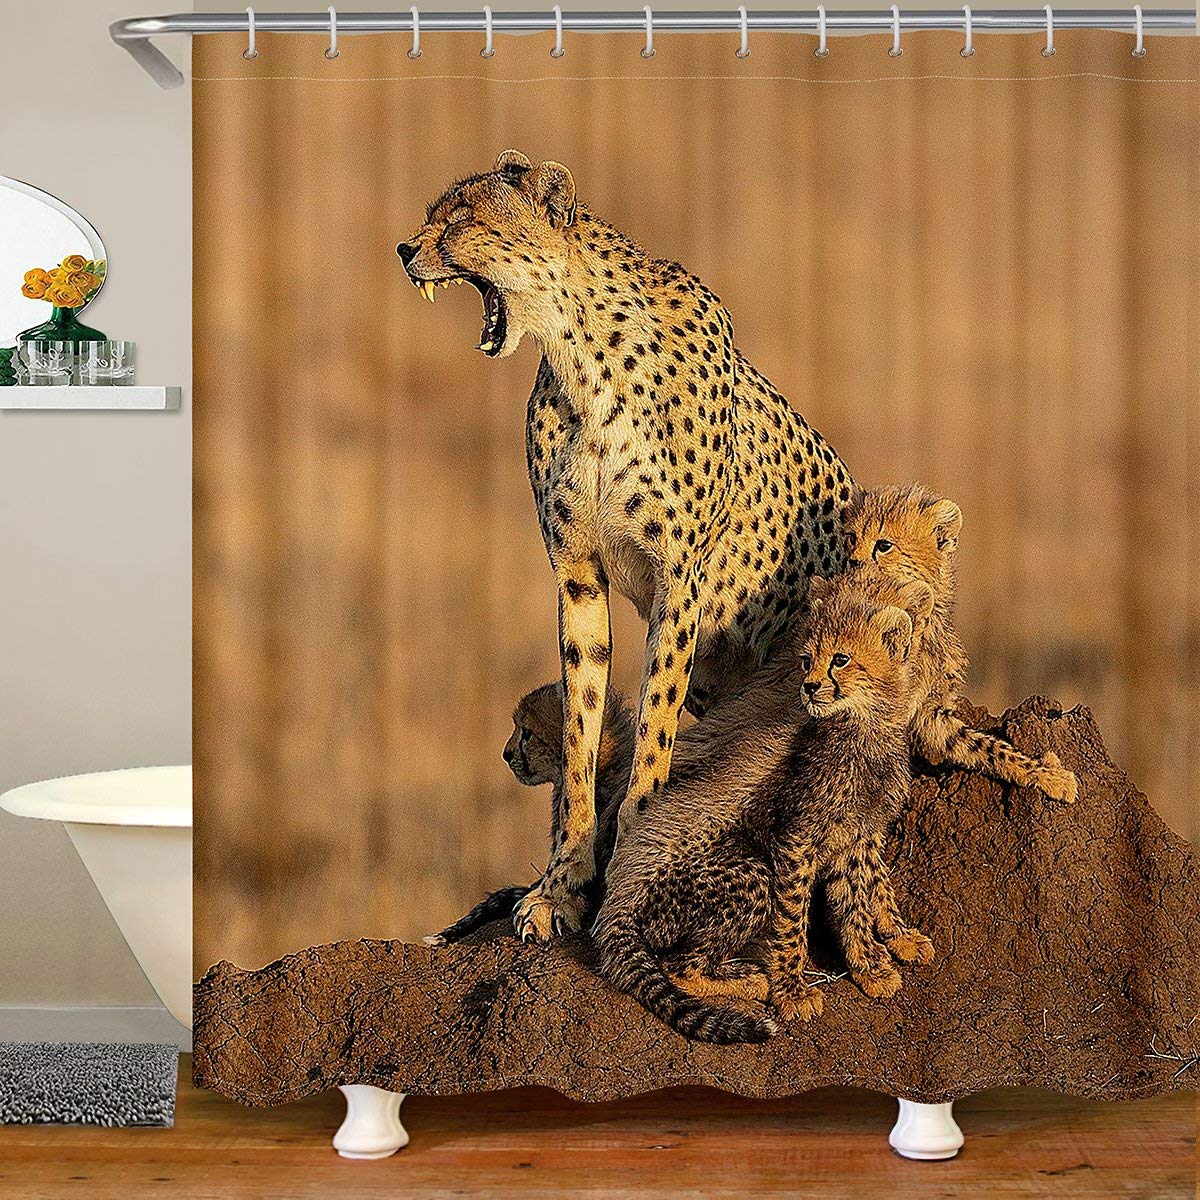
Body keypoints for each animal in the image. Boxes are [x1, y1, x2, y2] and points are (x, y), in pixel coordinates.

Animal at [398, 150, 855, 942]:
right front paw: (561, 885)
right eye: (434, 213)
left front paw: (634, 855)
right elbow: (583, 730)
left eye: (464, 218)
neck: (580, 350)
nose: (403, 249)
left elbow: (653, 725)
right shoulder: (577, 575)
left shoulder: (681, 581)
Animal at [592, 579, 931, 1043]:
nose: (809, 687)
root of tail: (614, 905)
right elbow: (793, 921)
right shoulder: (796, 840)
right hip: (744, 875)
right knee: (678, 967)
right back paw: (751, 981)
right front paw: (792, 992)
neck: (864, 725)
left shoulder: (856, 836)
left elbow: (861, 899)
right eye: (806, 660)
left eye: (840, 660)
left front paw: (874, 965)